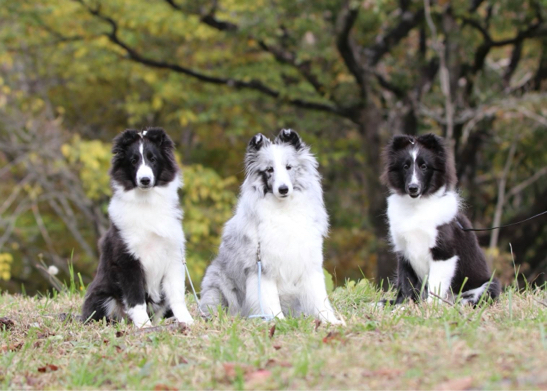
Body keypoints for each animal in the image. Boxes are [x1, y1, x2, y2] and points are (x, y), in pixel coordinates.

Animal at [80, 129, 194, 328]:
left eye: (152, 159)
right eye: (133, 161)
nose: (145, 180)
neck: (146, 203)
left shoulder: (173, 255)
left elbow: (177, 295)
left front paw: (186, 320)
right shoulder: (127, 260)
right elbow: (136, 298)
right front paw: (144, 326)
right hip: (102, 296)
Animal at [199, 129, 340, 324]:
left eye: (288, 167)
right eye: (269, 169)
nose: (283, 189)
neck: (284, 210)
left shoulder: (309, 264)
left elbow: (319, 298)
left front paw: (330, 321)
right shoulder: (262, 269)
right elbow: (269, 301)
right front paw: (277, 321)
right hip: (217, 289)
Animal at [384, 134, 504, 306]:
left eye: (424, 166)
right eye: (405, 166)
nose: (413, 188)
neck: (416, 207)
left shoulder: (444, 253)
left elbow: (435, 285)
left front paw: (429, 307)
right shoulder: (404, 252)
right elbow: (406, 284)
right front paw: (402, 306)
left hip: (488, 285)